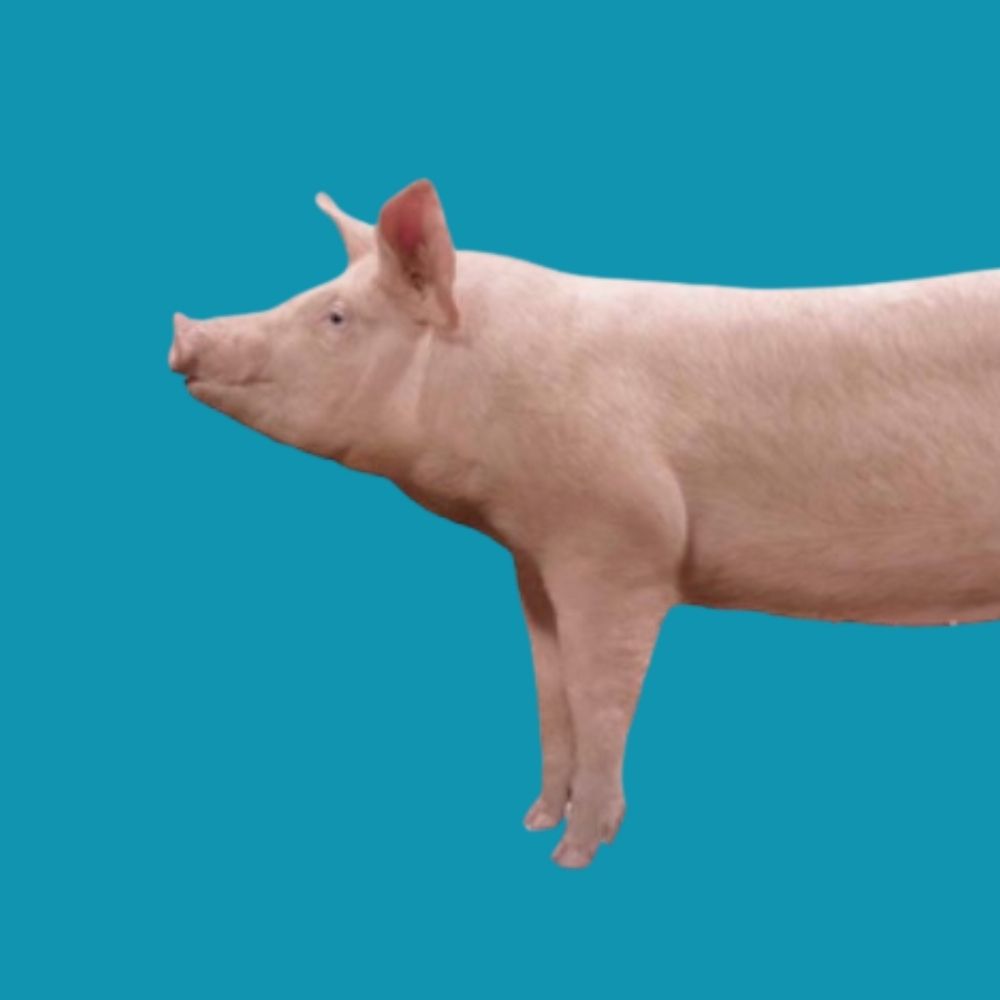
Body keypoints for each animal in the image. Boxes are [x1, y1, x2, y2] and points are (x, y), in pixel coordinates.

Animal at [169, 178, 1000, 868]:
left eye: (335, 316)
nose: (182, 333)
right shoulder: (534, 559)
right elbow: (551, 690)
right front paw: (532, 820)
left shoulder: (620, 544)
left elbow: (599, 699)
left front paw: (570, 856)